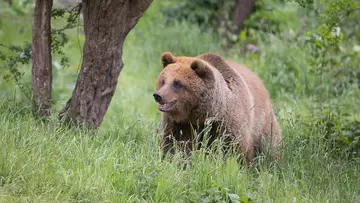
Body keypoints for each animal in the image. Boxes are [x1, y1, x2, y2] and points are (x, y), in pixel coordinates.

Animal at [153, 52, 282, 163]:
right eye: (163, 80)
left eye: (177, 83)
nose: (158, 95)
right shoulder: (179, 124)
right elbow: (174, 144)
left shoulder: (228, 122)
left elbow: (235, 149)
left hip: (263, 123)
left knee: (269, 145)